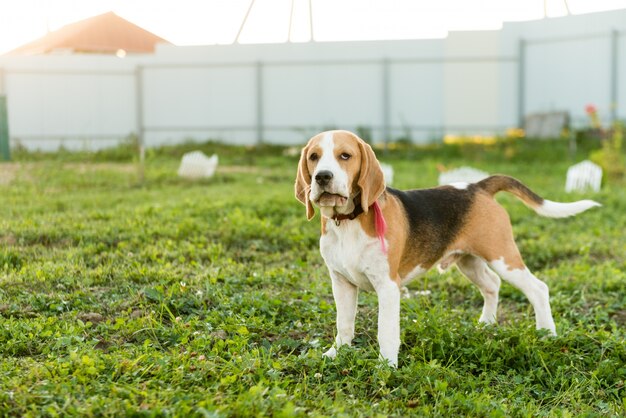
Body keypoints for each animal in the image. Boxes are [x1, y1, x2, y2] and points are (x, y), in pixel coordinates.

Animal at [294, 130, 596, 366]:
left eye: (345, 156)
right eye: (314, 157)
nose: (322, 177)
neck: (348, 222)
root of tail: (478, 186)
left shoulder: (388, 286)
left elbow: (386, 331)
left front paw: (386, 366)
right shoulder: (341, 282)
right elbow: (344, 323)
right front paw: (336, 353)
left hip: (502, 256)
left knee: (538, 288)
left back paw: (547, 333)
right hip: (469, 261)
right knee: (492, 285)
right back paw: (486, 323)